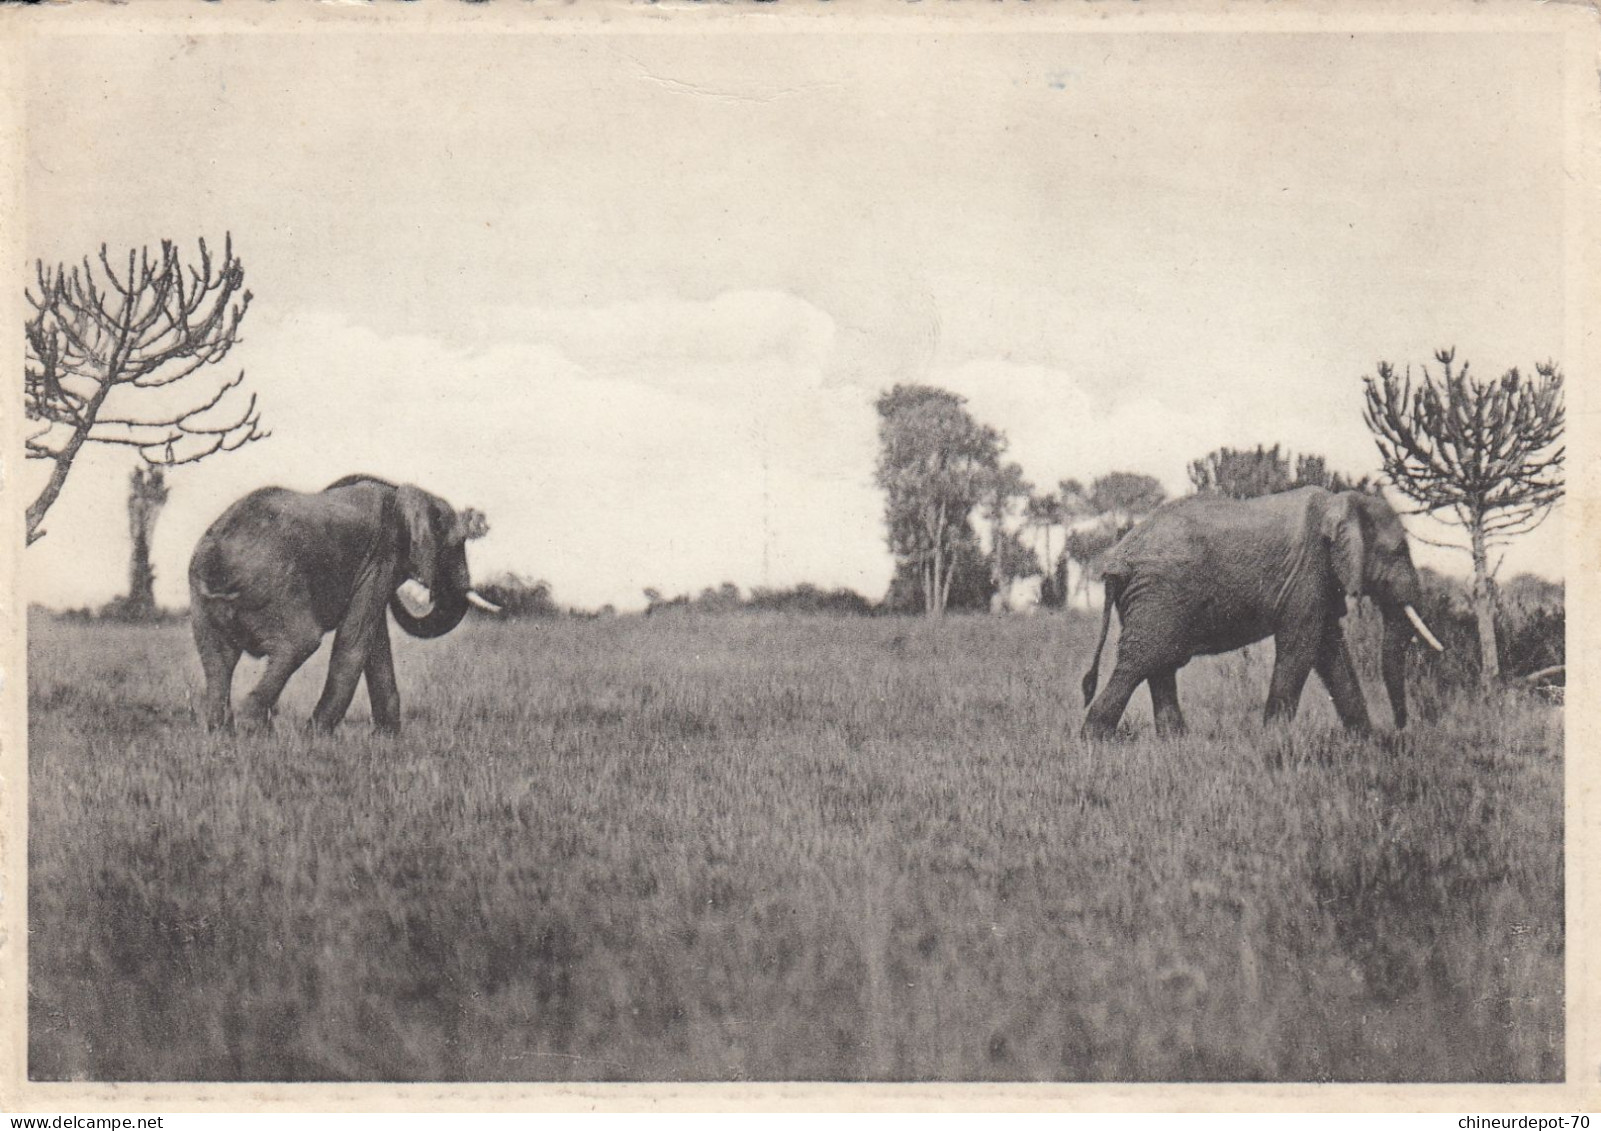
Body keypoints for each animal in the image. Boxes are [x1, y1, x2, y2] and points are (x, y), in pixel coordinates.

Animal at [188, 474, 499, 730]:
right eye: (457, 544)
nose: (430, 590)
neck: (402, 493)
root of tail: (217, 559)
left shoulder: (373, 565)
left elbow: (375, 642)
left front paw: (387, 738)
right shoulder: (381, 557)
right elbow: (355, 640)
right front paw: (315, 735)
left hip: (202, 603)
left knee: (216, 660)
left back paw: (223, 732)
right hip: (274, 583)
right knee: (300, 642)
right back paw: (254, 729)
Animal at [1082, 487, 1447, 740]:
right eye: (1399, 551)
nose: (1400, 728)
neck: (1339, 503)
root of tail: (1116, 558)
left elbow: (1331, 651)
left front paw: (1365, 742)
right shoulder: (1308, 572)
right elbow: (1301, 646)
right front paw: (1275, 740)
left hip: (1156, 598)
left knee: (1161, 664)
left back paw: (1177, 743)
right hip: (1158, 594)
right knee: (1141, 660)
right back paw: (1095, 741)